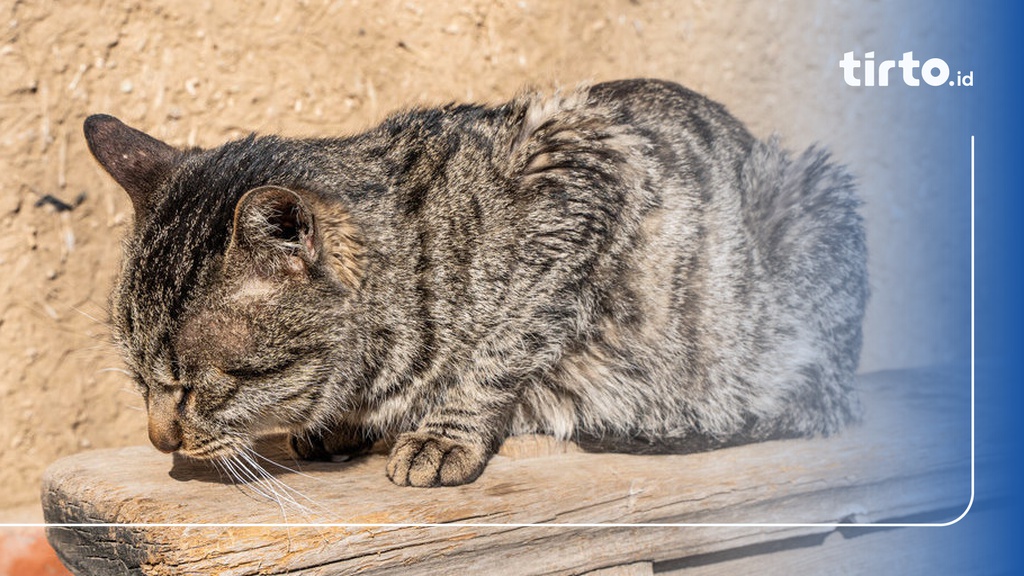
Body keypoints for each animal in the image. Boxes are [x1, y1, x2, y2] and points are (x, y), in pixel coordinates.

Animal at [83, 78, 864, 485]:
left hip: (814, 204)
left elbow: (499, 345)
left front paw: (441, 434)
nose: (158, 440)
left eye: (198, 383)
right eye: (138, 378)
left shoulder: (582, 177)